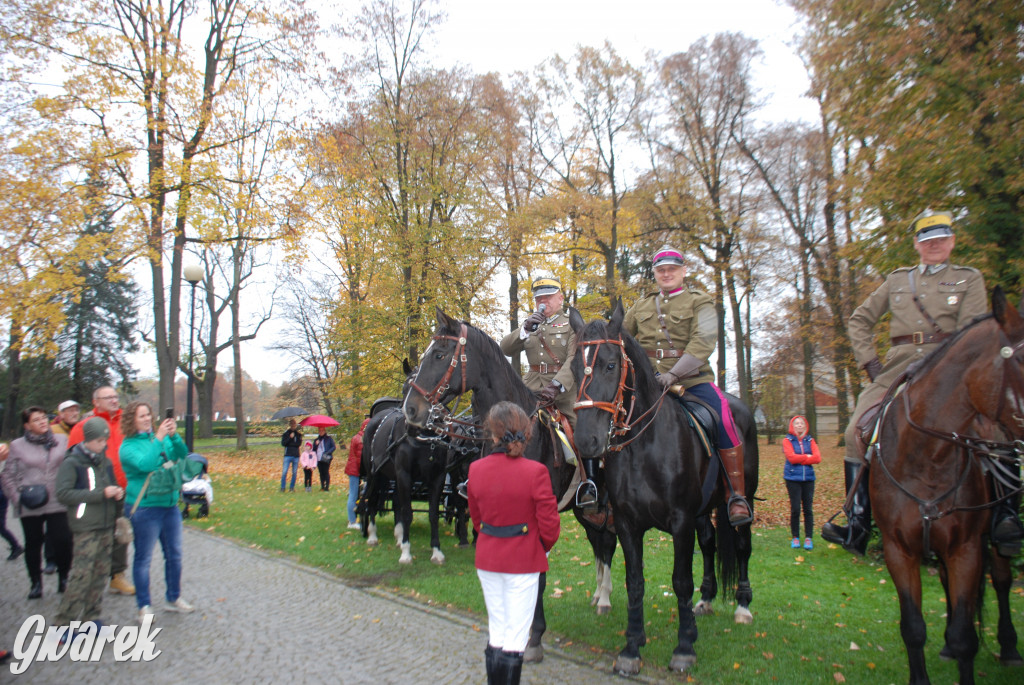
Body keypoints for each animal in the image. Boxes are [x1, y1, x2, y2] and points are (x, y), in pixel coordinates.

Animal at [403, 307, 618, 659]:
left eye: (439, 354)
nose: (411, 410)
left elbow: (538, 575)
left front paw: (534, 636)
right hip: (588, 511)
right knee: (601, 544)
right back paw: (600, 596)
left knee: (610, 544)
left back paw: (608, 598)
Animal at [573, 303, 757, 671]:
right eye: (573, 367)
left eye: (610, 364)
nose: (586, 441)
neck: (642, 447)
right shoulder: (627, 524)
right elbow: (634, 582)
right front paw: (632, 647)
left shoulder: (681, 521)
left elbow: (681, 581)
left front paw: (684, 646)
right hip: (703, 512)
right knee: (710, 545)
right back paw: (707, 599)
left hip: (743, 500)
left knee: (743, 546)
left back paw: (743, 606)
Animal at [864, 286, 1024, 679]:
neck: (928, 457)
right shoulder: (898, 549)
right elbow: (913, 628)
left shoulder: (965, 548)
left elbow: (967, 635)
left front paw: (964, 646)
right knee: (948, 583)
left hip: (990, 535)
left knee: (1001, 579)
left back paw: (1009, 647)